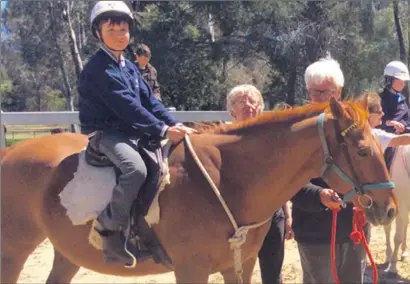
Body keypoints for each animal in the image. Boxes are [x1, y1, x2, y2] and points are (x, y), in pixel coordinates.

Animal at [0, 98, 398, 284]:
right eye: (363, 151)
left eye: (381, 147)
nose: (390, 208)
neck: (227, 180)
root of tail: (9, 153)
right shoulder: (191, 269)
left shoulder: (240, 266)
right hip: (13, 251)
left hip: (67, 253)